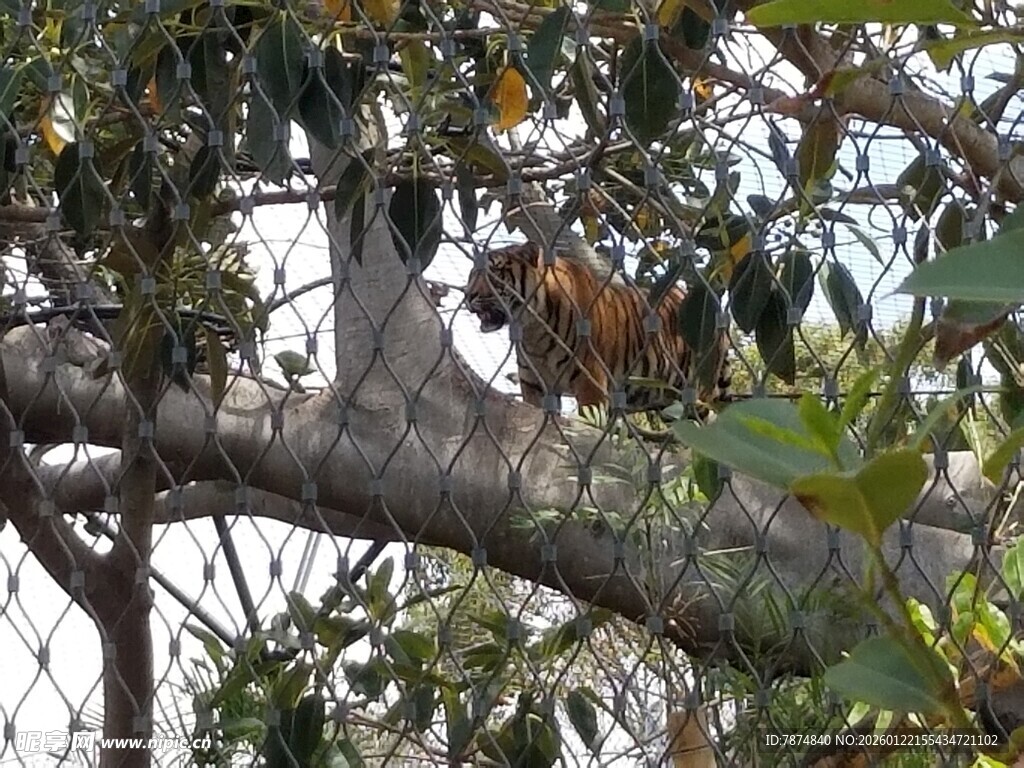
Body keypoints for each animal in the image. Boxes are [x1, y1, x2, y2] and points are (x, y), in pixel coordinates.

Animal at [464, 242, 732, 416]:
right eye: (472, 274)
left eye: (495, 273)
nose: (468, 295)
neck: (533, 330)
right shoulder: (535, 386)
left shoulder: (590, 382)